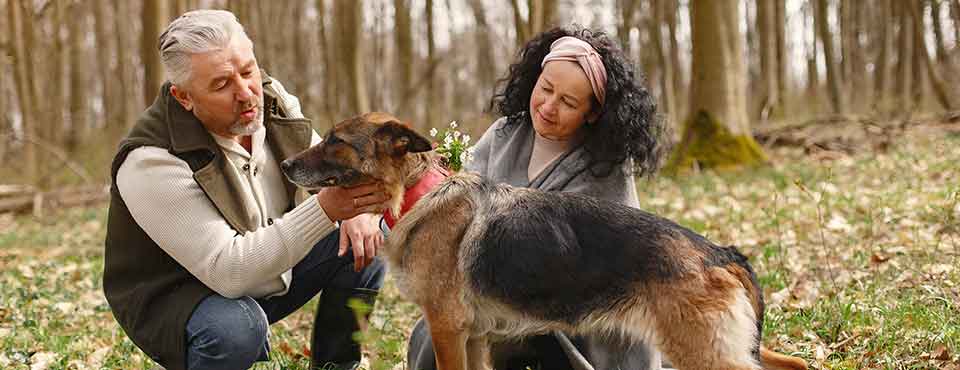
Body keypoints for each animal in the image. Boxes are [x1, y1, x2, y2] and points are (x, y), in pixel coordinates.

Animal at [282, 112, 808, 370]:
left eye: (336, 141)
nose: (285, 165)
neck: (418, 192)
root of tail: (720, 252)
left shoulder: (448, 329)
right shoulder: (474, 337)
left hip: (705, 354)